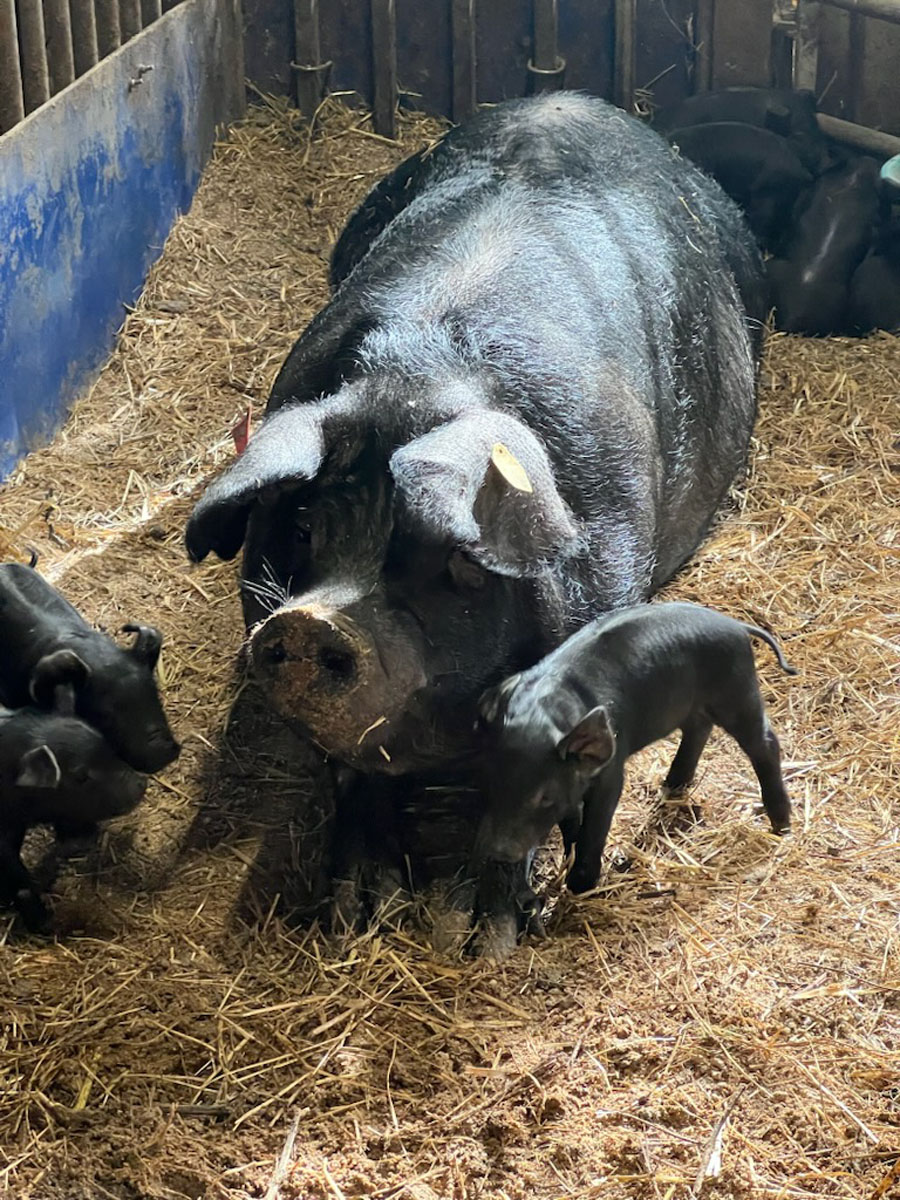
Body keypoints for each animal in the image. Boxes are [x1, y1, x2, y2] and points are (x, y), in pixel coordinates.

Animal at [473, 602, 795, 896]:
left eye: (543, 797)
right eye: (490, 784)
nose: (497, 851)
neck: (541, 715)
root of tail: (737, 626)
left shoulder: (611, 772)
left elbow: (595, 827)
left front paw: (580, 886)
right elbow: (571, 822)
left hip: (736, 691)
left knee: (764, 742)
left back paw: (781, 826)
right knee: (699, 727)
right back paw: (672, 785)